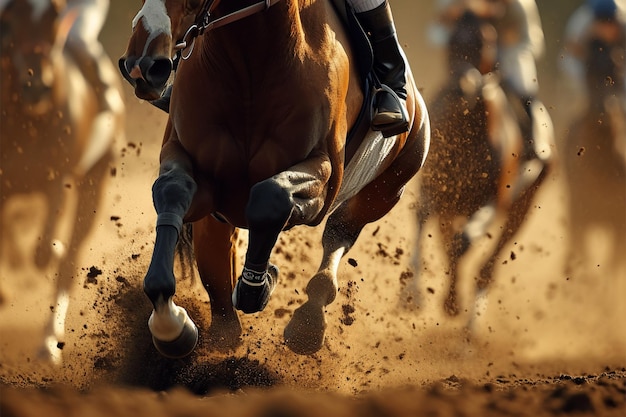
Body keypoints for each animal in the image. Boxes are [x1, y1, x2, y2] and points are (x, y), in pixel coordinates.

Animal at [0, 0, 124, 364]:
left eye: (54, 17)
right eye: (7, 21)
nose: (36, 84)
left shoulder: (57, 178)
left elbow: (45, 253)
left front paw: (53, 250)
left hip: (94, 182)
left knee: (70, 260)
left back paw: (48, 340)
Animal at [117, 0, 428, 356]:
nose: (143, 63)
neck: (249, 64)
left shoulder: (323, 177)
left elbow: (272, 197)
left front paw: (258, 284)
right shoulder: (197, 171)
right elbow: (172, 191)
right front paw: (170, 323)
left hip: (385, 190)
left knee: (339, 234)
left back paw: (308, 322)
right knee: (223, 305)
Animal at [412, 9, 552, 322]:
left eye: (486, 41)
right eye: (452, 40)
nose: (466, 83)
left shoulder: (496, 197)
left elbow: (462, 241)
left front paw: (451, 303)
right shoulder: (434, 186)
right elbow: (426, 219)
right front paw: (414, 296)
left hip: (522, 206)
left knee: (488, 264)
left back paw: (470, 324)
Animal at [560, 28, 624, 276]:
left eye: (619, 68)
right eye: (588, 69)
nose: (605, 109)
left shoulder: (619, 220)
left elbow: (612, 268)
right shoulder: (579, 213)